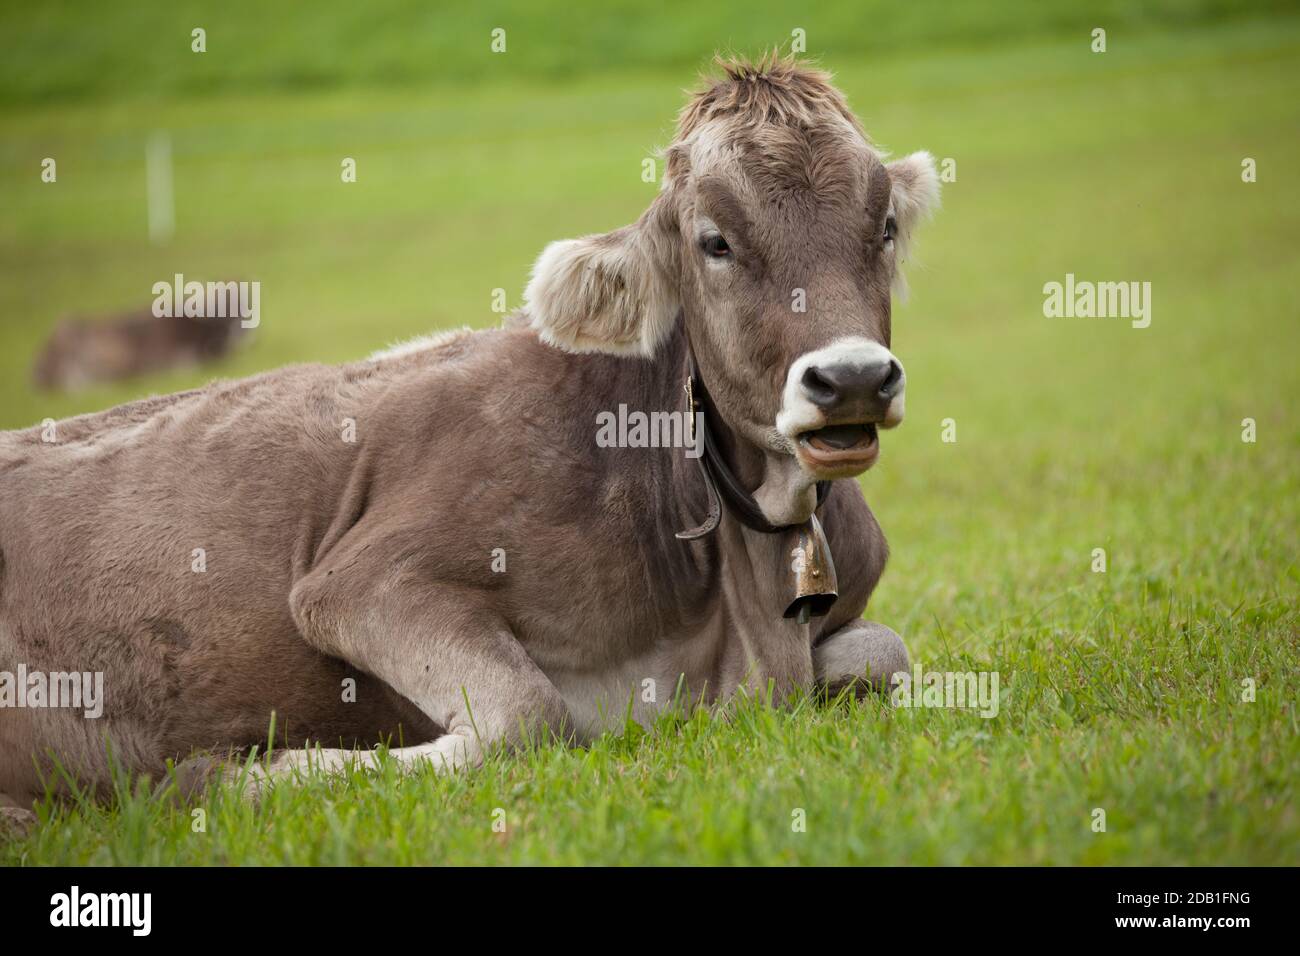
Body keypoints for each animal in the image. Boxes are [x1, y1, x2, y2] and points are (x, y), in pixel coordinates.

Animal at [0, 55, 938, 809]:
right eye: (715, 242)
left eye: (885, 227)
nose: (853, 377)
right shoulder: (359, 581)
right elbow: (531, 715)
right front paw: (239, 774)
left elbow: (886, 651)